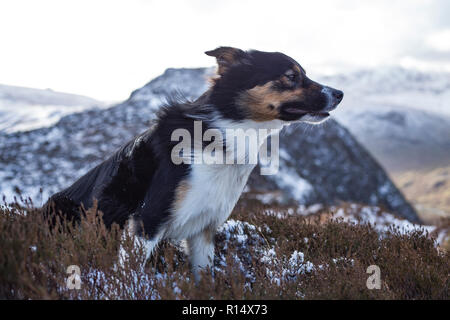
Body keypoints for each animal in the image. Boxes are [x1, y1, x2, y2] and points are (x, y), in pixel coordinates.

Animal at [44, 47, 342, 280]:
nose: (339, 93)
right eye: (292, 76)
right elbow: (129, 276)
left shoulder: (204, 229)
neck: (222, 138)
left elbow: (203, 277)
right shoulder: (147, 220)